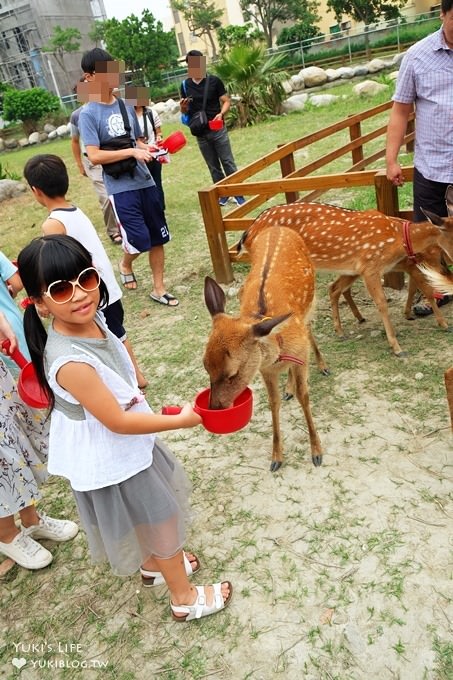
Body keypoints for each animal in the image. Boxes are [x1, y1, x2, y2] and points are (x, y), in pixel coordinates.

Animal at [202, 226, 324, 470]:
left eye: (232, 374)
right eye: (205, 366)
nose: (216, 407)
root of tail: (278, 227)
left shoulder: (300, 353)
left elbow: (304, 396)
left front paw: (317, 452)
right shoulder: (264, 369)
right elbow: (273, 402)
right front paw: (276, 457)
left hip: (311, 301)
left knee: (310, 327)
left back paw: (322, 365)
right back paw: (288, 387)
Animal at [244, 203, 453, 356]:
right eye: (441, 255)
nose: (447, 271)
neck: (396, 238)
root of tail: (248, 232)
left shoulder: (363, 268)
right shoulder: (370, 266)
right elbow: (382, 303)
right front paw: (397, 347)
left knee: (332, 289)